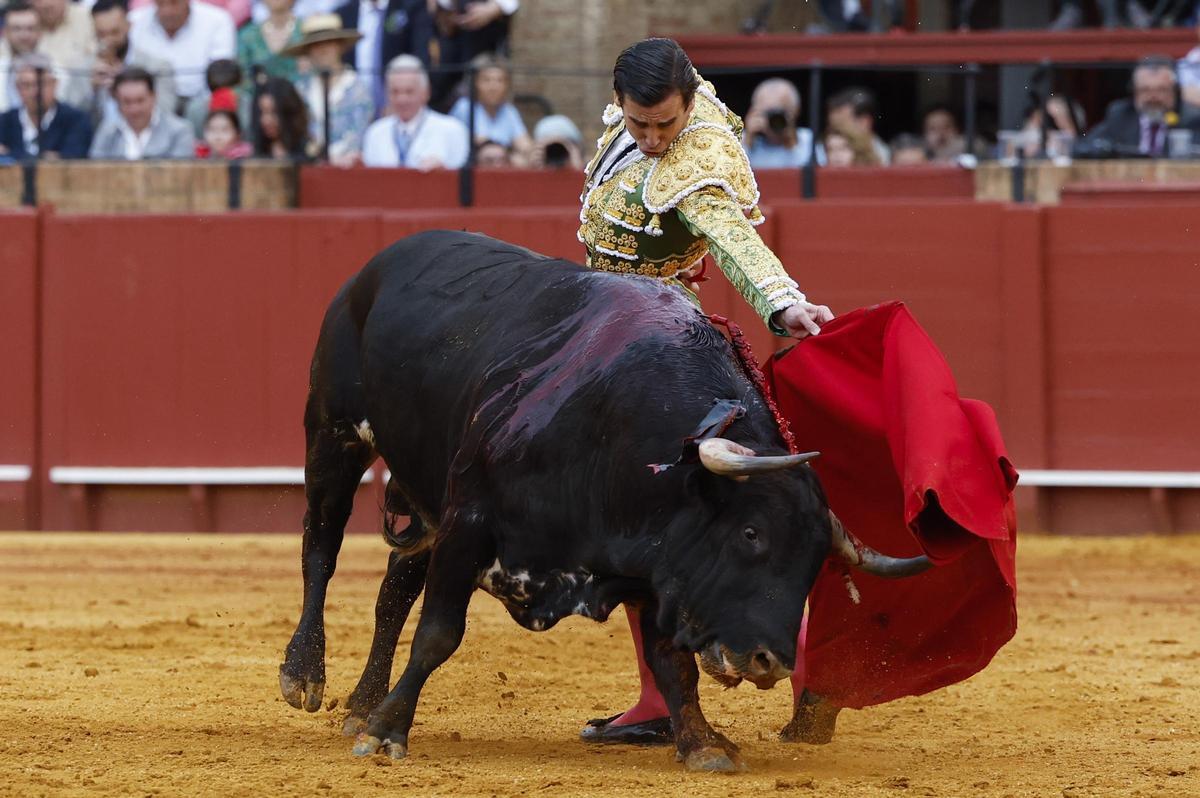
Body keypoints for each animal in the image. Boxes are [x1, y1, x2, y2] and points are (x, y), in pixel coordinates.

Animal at [278, 231, 926, 772]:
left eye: (817, 562)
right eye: (751, 534)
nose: (772, 661)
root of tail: (386, 259)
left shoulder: (659, 566)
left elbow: (672, 663)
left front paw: (702, 743)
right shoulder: (470, 522)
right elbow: (439, 632)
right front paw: (387, 733)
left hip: (423, 487)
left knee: (394, 586)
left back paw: (361, 703)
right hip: (334, 432)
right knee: (321, 548)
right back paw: (305, 674)